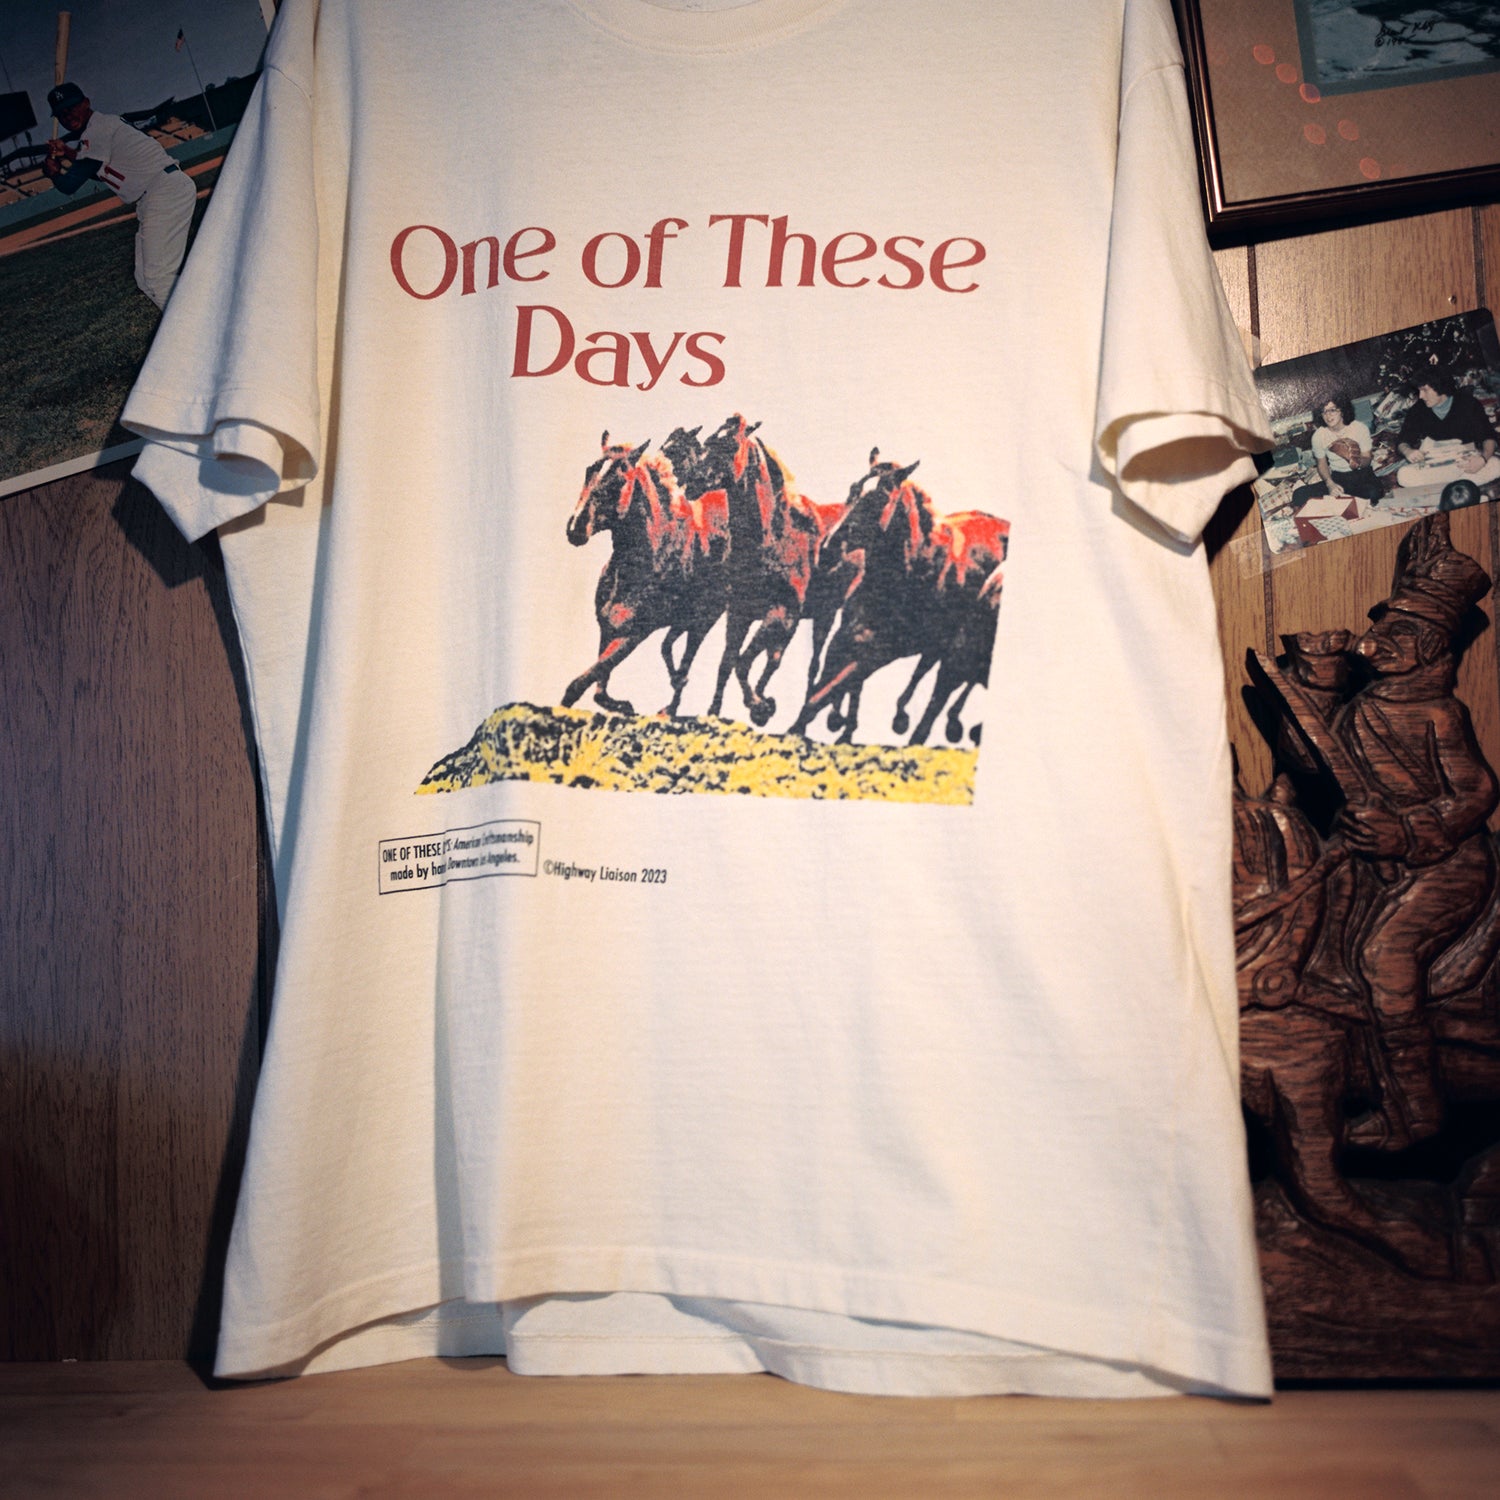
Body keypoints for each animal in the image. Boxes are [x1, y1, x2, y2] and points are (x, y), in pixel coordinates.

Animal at [562, 433, 731, 717]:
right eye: (589, 471)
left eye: (617, 481)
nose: (575, 529)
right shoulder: (608, 629)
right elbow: (599, 691)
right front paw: (625, 706)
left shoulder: (634, 635)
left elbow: (577, 686)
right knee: (670, 649)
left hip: (705, 619)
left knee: (692, 657)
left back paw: (678, 707)